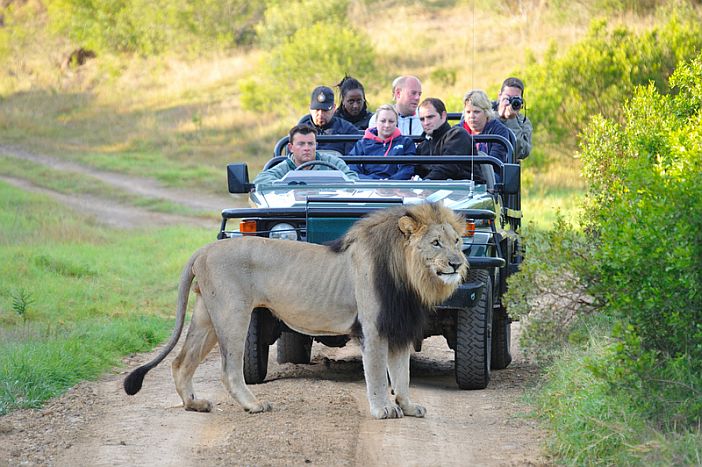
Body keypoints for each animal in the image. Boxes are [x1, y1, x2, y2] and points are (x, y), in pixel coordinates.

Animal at [124, 203, 468, 419]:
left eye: (458, 241)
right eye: (436, 243)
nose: (457, 263)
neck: (410, 277)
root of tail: (206, 248)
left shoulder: (398, 328)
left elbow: (402, 375)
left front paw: (409, 407)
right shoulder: (373, 328)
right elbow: (377, 375)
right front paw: (383, 409)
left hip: (207, 316)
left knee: (181, 362)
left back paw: (195, 405)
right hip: (233, 313)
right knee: (229, 369)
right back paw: (253, 406)